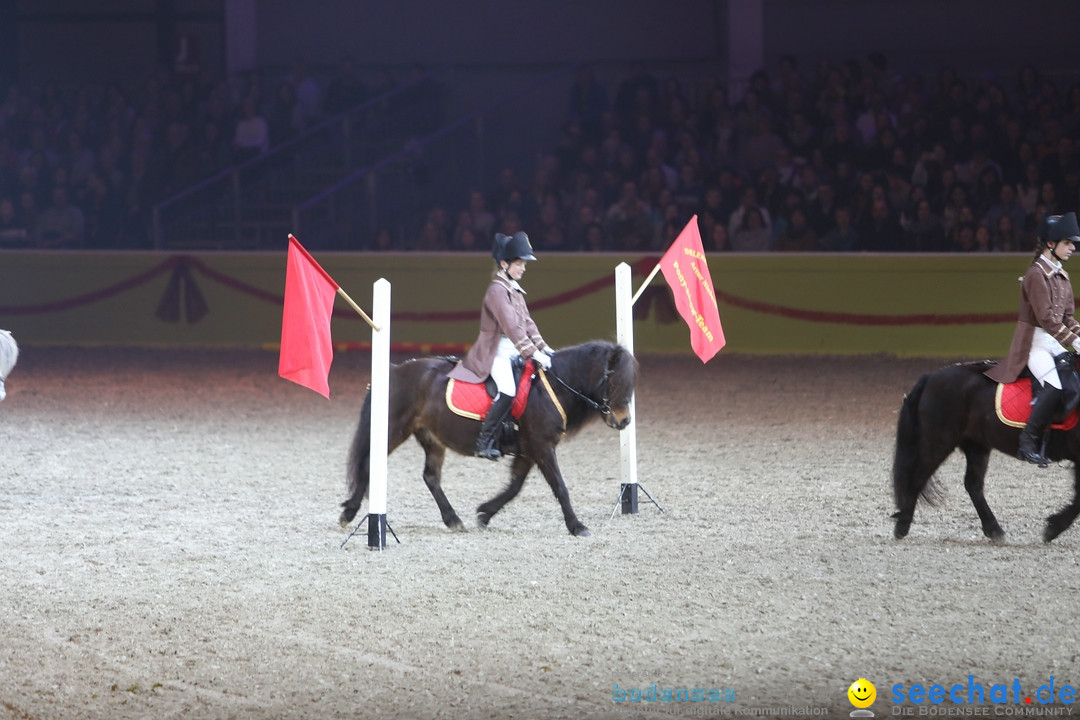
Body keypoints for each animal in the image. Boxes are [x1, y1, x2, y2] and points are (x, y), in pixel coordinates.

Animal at [341, 341, 635, 537]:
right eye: (611, 380)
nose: (624, 421)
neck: (552, 386)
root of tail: (395, 370)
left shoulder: (528, 450)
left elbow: (515, 486)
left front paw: (485, 512)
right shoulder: (542, 446)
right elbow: (560, 487)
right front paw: (577, 526)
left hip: (432, 438)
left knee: (430, 477)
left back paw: (453, 519)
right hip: (392, 430)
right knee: (369, 464)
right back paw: (349, 512)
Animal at [889, 360, 1080, 539]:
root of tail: (931, 377)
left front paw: (1054, 526)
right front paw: (1054, 528)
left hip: (976, 445)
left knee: (973, 484)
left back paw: (993, 529)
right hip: (939, 442)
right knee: (918, 478)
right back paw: (903, 525)